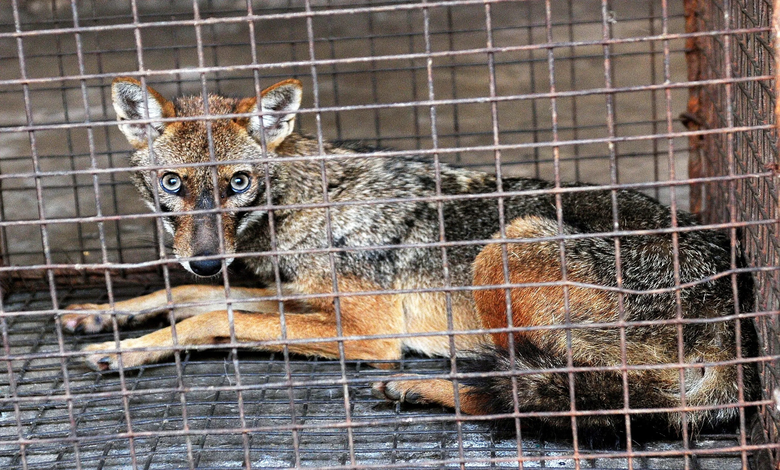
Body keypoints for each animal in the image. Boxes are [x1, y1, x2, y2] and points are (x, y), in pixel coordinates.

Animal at [61, 75, 756, 438]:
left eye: (237, 182)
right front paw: (107, 320)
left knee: (554, 398)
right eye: (173, 183)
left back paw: (421, 385)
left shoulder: (367, 333)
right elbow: (186, 296)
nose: (206, 258)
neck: (306, 201)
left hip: (510, 245)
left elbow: (213, 316)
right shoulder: (291, 295)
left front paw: (127, 348)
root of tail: (736, 314)